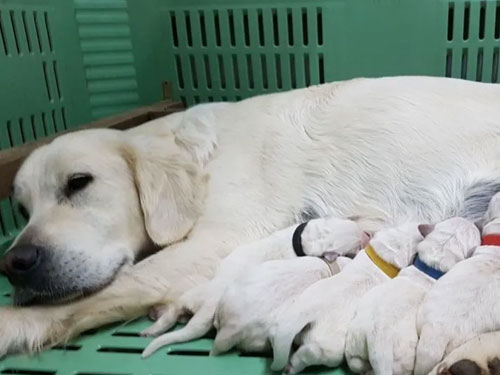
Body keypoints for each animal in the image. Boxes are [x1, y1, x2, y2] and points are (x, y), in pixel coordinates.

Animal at [141, 216, 368, 356]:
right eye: (355, 246)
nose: (367, 235)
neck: (304, 238)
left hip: (192, 295)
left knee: (173, 311)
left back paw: (152, 328)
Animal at [344, 217, 480, 375]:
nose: (474, 222)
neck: (431, 265)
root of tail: (377, 347)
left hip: (355, 346)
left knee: (357, 364)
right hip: (404, 359)